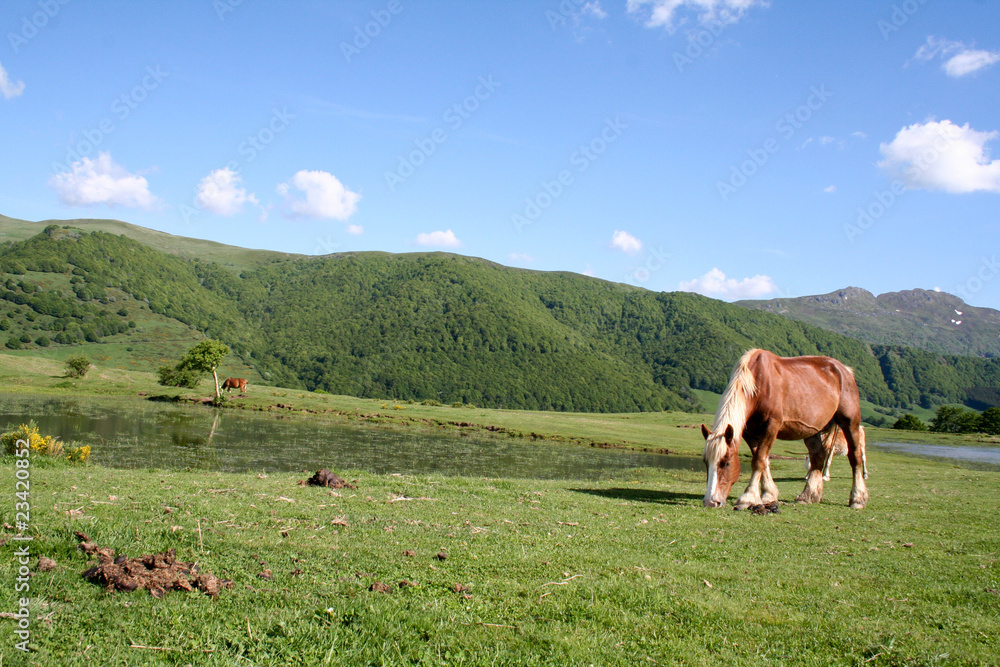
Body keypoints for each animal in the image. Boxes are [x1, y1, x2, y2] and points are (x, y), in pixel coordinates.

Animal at [701, 349, 868, 509]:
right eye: (706, 462)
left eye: (726, 463)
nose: (710, 502)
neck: (759, 384)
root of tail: (845, 370)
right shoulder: (750, 433)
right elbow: (763, 460)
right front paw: (768, 494)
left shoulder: (771, 427)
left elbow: (759, 461)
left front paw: (747, 498)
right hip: (812, 431)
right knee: (818, 457)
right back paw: (807, 496)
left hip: (850, 424)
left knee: (855, 457)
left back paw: (857, 498)